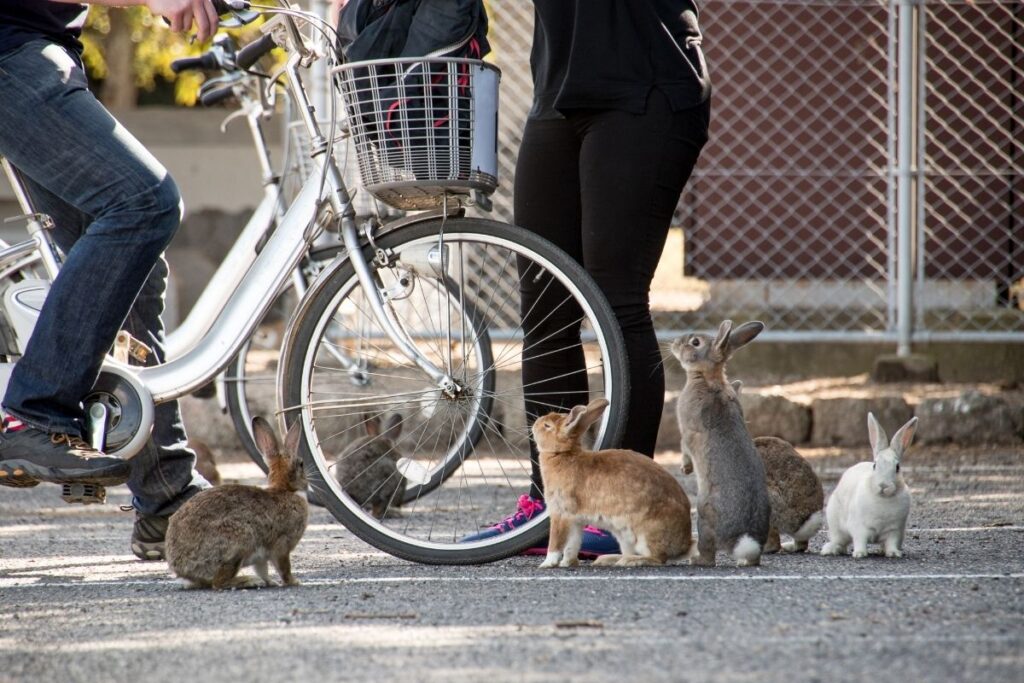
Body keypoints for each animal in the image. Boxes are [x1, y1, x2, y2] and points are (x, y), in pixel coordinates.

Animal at [163, 417, 305, 589]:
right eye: (301, 464)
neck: (284, 489)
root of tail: (181, 567)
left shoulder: (262, 557)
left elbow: (262, 569)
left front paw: (271, 582)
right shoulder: (282, 545)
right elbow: (284, 567)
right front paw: (293, 582)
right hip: (239, 542)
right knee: (218, 582)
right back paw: (249, 581)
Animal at [532, 397, 692, 569]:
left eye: (547, 426)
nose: (535, 424)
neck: (561, 453)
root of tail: (684, 545)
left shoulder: (560, 513)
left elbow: (555, 543)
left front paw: (546, 564)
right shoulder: (575, 521)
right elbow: (572, 545)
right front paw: (567, 563)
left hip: (644, 533)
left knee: (658, 558)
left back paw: (629, 561)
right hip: (623, 536)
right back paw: (610, 559)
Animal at [671, 321, 770, 565]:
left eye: (695, 342)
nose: (675, 343)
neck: (706, 378)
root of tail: (743, 540)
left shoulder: (687, 431)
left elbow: (684, 447)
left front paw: (685, 468)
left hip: (704, 514)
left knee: (709, 553)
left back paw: (696, 560)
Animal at [819, 413, 917, 557]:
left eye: (897, 467)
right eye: (875, 465)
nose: (883, 485)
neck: (883, 498)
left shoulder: (894, 530)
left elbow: (891, 542)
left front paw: (893, 553)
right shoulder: (859, 528)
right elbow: (860, 540)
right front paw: (860, 554)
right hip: (835, 524)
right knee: (840, 541)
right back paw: (831, 550)